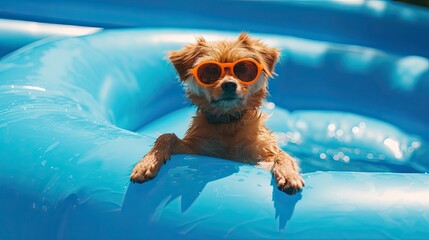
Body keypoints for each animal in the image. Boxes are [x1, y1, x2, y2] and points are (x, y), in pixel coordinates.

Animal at [130, 32, 304, 194]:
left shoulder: (259, 156)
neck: (228, 123)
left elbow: (283, 154)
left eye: (243, 69)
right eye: (210, 71)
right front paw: (147, 163)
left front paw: (288, 174)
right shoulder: (197, 150)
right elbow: (167, 136)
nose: (229, 84)